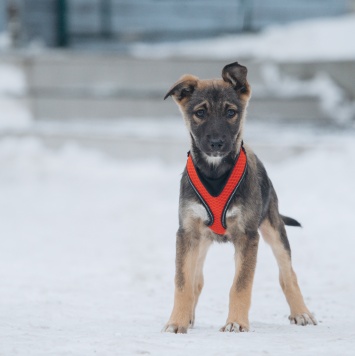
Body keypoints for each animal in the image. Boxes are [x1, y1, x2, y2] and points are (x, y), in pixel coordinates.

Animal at [163, 62, 318, 334]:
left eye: (231, 112)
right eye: (200, 113)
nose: (216, 143)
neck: (215, 173)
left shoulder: (247, 235)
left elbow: (241, 285)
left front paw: (236, 323)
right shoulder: (187, 233)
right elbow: (183, 282)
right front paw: (177, 322)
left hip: (273, 228)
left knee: (287, 274)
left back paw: (301, 313)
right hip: (201, 241)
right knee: (196, 280)